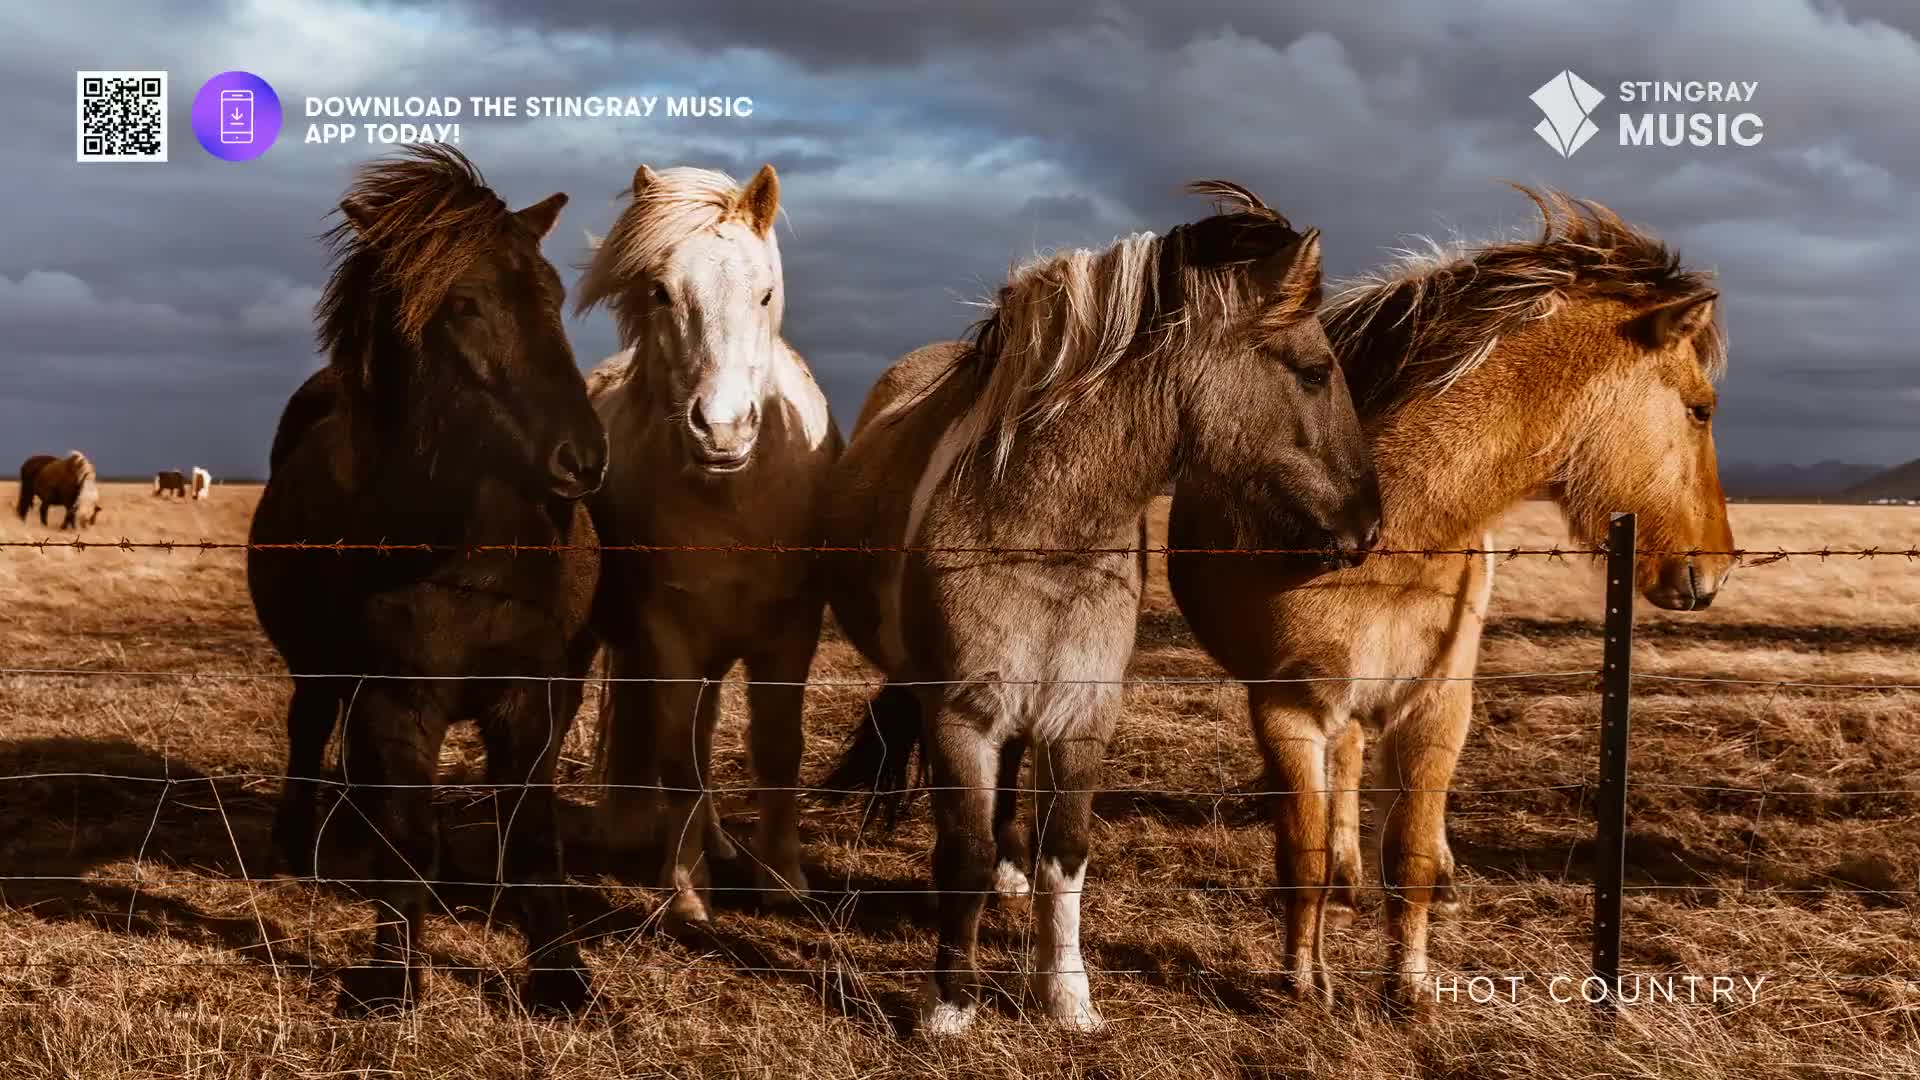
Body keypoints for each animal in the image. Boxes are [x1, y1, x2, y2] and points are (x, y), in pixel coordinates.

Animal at [246, 144, 606, 1017]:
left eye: (553, 296)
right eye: (465, 305)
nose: (582, 460)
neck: (465, 552)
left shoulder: (531, 696)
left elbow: (532, 832)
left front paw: (561, 978)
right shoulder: (397, 700)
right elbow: (403, 833)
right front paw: (388, 981)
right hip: (322, 672)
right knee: (311, 731)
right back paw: (297, 846)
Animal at [574, 163, 841, 927]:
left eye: (766, 291)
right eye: (662, 293)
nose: (721, 430)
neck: (733, 502)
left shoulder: (791, 631)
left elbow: (778, 747)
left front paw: (782, 878)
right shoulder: (668, 635)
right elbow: (676, 758)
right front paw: (688, 890)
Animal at [819, 181, 1381, 1035]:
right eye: (1315, 373)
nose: (1369, 527)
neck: (1037, 533)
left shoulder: (1082, 714)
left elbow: (1067, 852)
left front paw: (1068, 999)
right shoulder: (959, 718)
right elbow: (962, 852)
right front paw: (949, 1005)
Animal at [1166, 186, 1737, 1014]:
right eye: (1700, 409)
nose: (1714, 569)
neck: (1385, 533)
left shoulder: (1440, 703)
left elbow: (1407, 849)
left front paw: (1409, 986)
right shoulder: (1284, 708)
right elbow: (1301, 852)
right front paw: (1303, 982)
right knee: (1345, 773)